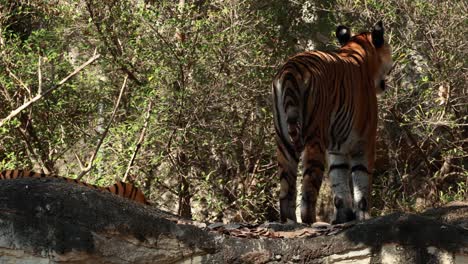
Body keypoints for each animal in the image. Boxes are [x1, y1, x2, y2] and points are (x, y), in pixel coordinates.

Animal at [272, 20, 394, 224]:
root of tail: (291, 69)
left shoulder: (337, 148)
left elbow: (339, 182)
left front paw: (344, 217)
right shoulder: (365, 141)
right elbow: (361, 182)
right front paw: (363, 217)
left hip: (283, 141)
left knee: (286, 190)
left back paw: (289, 222)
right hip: (314, 138)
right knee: (308, 189)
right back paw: (311, 222)